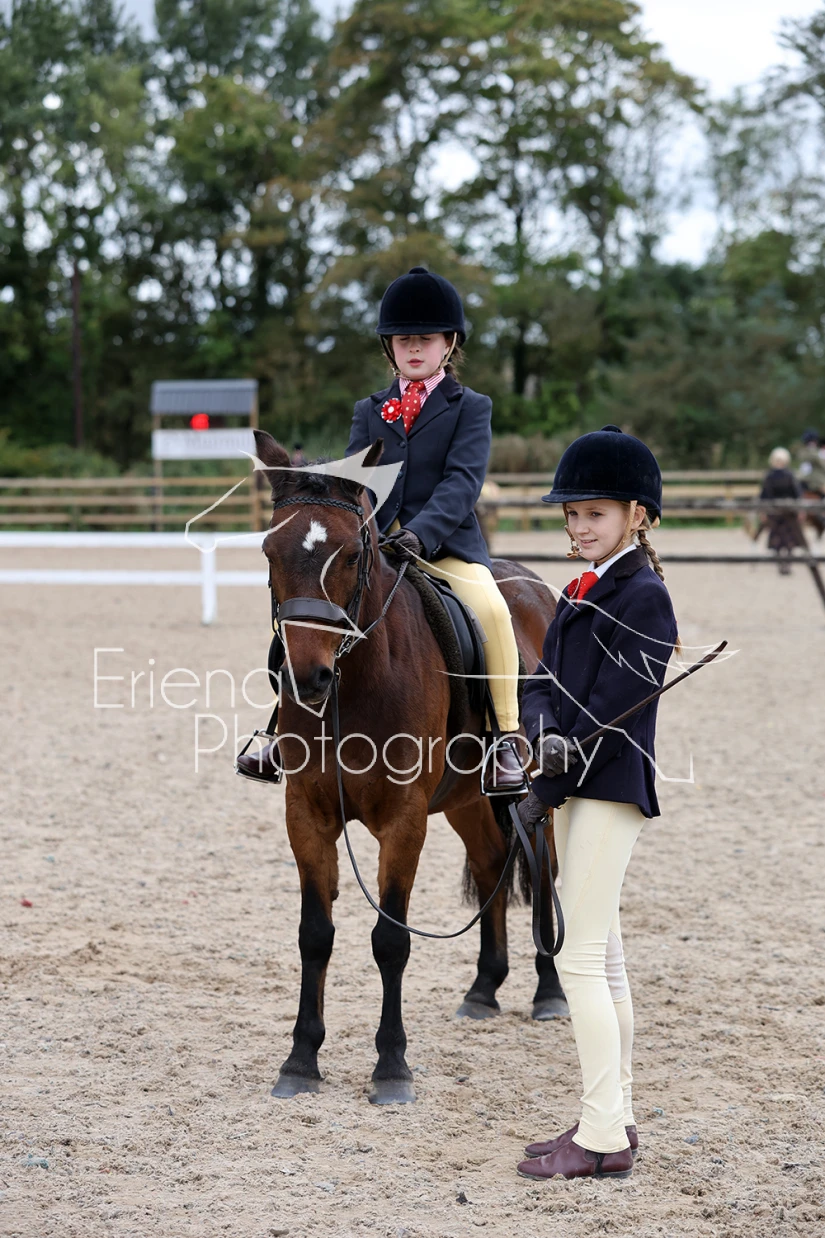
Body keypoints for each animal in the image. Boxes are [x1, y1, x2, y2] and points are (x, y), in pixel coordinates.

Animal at [252, 431, 567, 1104]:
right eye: (269, 550)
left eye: (351, 554)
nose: (307, 678)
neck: (354, 684)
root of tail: (535, 585)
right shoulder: (307, 814)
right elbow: (315, 935)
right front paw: (300, 1060)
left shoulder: (404, 819)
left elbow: (390, 939)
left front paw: (391, 1066)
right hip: (468, 798)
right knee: (492, 861)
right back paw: (483, 989)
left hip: (534, 792)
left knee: (543, 870)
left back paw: (550, 991)